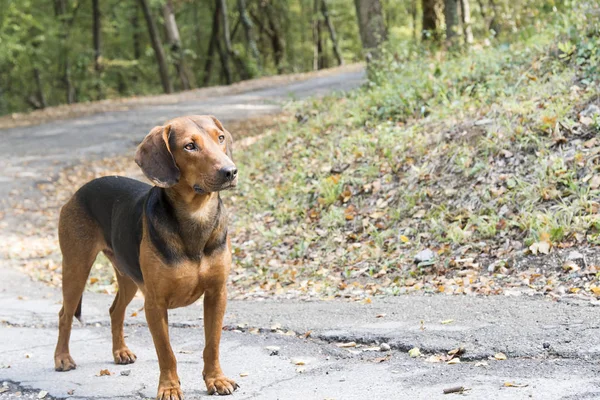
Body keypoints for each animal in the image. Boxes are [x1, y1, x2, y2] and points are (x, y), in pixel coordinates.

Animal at [52, 114, 238, 398]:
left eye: (220, 138)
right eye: (189, 146)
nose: (230, 171)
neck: (195, 217)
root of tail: (78, 191)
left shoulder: (217, 294)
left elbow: (213, 344)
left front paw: (215, 379)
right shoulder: (155, 303)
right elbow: (167, 353)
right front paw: (169, 388)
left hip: (128, 277)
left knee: (115, 311)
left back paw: (120, 352)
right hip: (76, 268)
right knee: (65, 315)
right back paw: (62, 358)